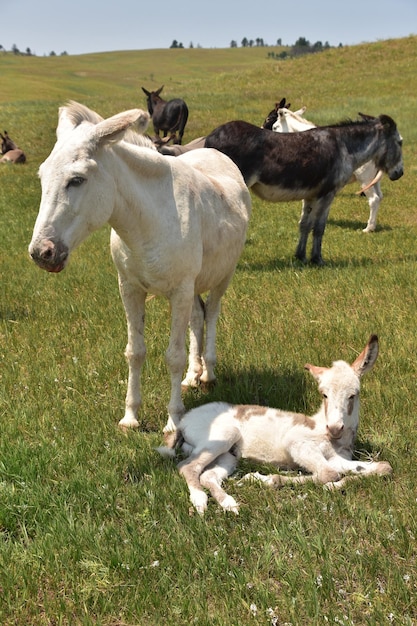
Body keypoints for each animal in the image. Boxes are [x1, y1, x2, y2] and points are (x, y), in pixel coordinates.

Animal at [158, 334, 390, 516]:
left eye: (353, 395)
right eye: (324, 394)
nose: (334, 428)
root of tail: (185, 421)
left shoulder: (338, 458)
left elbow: (383, 467)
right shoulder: (298, 443)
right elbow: (329, 474)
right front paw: (265, 479)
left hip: (228, 455)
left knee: (207, 475)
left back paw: (230, 505)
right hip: (222, 437)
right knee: (187, 467)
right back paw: (200, 502)